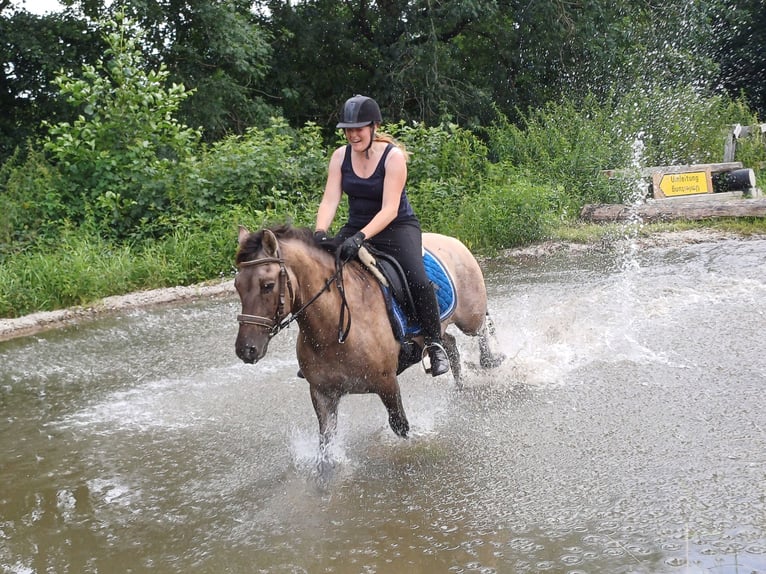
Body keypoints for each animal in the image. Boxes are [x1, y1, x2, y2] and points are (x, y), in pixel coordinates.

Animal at [237, 223, 508, 452]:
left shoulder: (387, 384)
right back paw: (457, 383)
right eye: (238, 286)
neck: (333, 331)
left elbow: (401, 426)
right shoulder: (322, 394)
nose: (246, 350)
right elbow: (325, 448)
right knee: (449, 345)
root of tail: (453, 241)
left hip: (469, 317)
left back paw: (489, 360)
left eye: (268, 285)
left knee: (481, 329)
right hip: (437, 331)